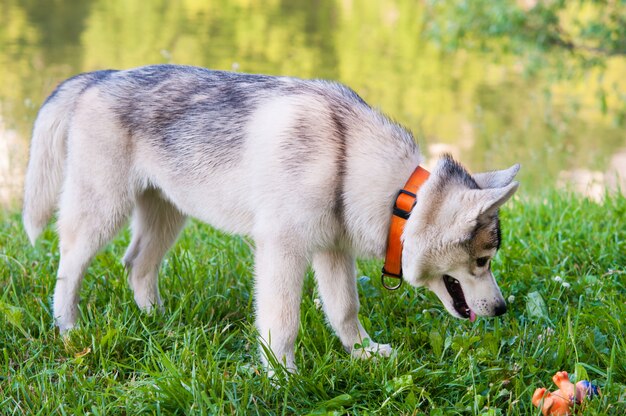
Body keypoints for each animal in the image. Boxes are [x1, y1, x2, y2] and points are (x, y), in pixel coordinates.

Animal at [23, 64, 516, 370]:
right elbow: (283, 322)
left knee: (137, 266)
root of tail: (99, 76)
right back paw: (69, 329)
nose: (502, 309)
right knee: (68, 268)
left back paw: (159, 322)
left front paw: (363, 353)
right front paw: (283, 376)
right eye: (482, 261)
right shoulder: (282, 250)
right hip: (101, 210)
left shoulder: (332, 250)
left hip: (168, 214)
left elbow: (344, 309)